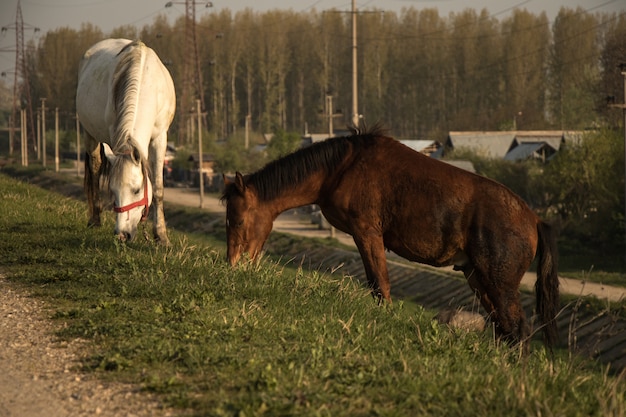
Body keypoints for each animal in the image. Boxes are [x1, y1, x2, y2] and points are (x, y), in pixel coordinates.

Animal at [78, 39, 177, 244]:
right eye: (113, 191)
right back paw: (95, 219)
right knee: (95, 168)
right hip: (89, 134)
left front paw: (161, 236)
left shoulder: (160, 138)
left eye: (137, 190)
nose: (122, 234)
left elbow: (158, 188)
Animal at [221, 125, 560, 346]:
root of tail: (533, 219)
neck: (340, 168)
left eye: (237, 221)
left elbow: (379, 284)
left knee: (517, 330)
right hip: (478, 278)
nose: (233, 265)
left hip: (499, 284)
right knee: (505, 330)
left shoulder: (367, 233)